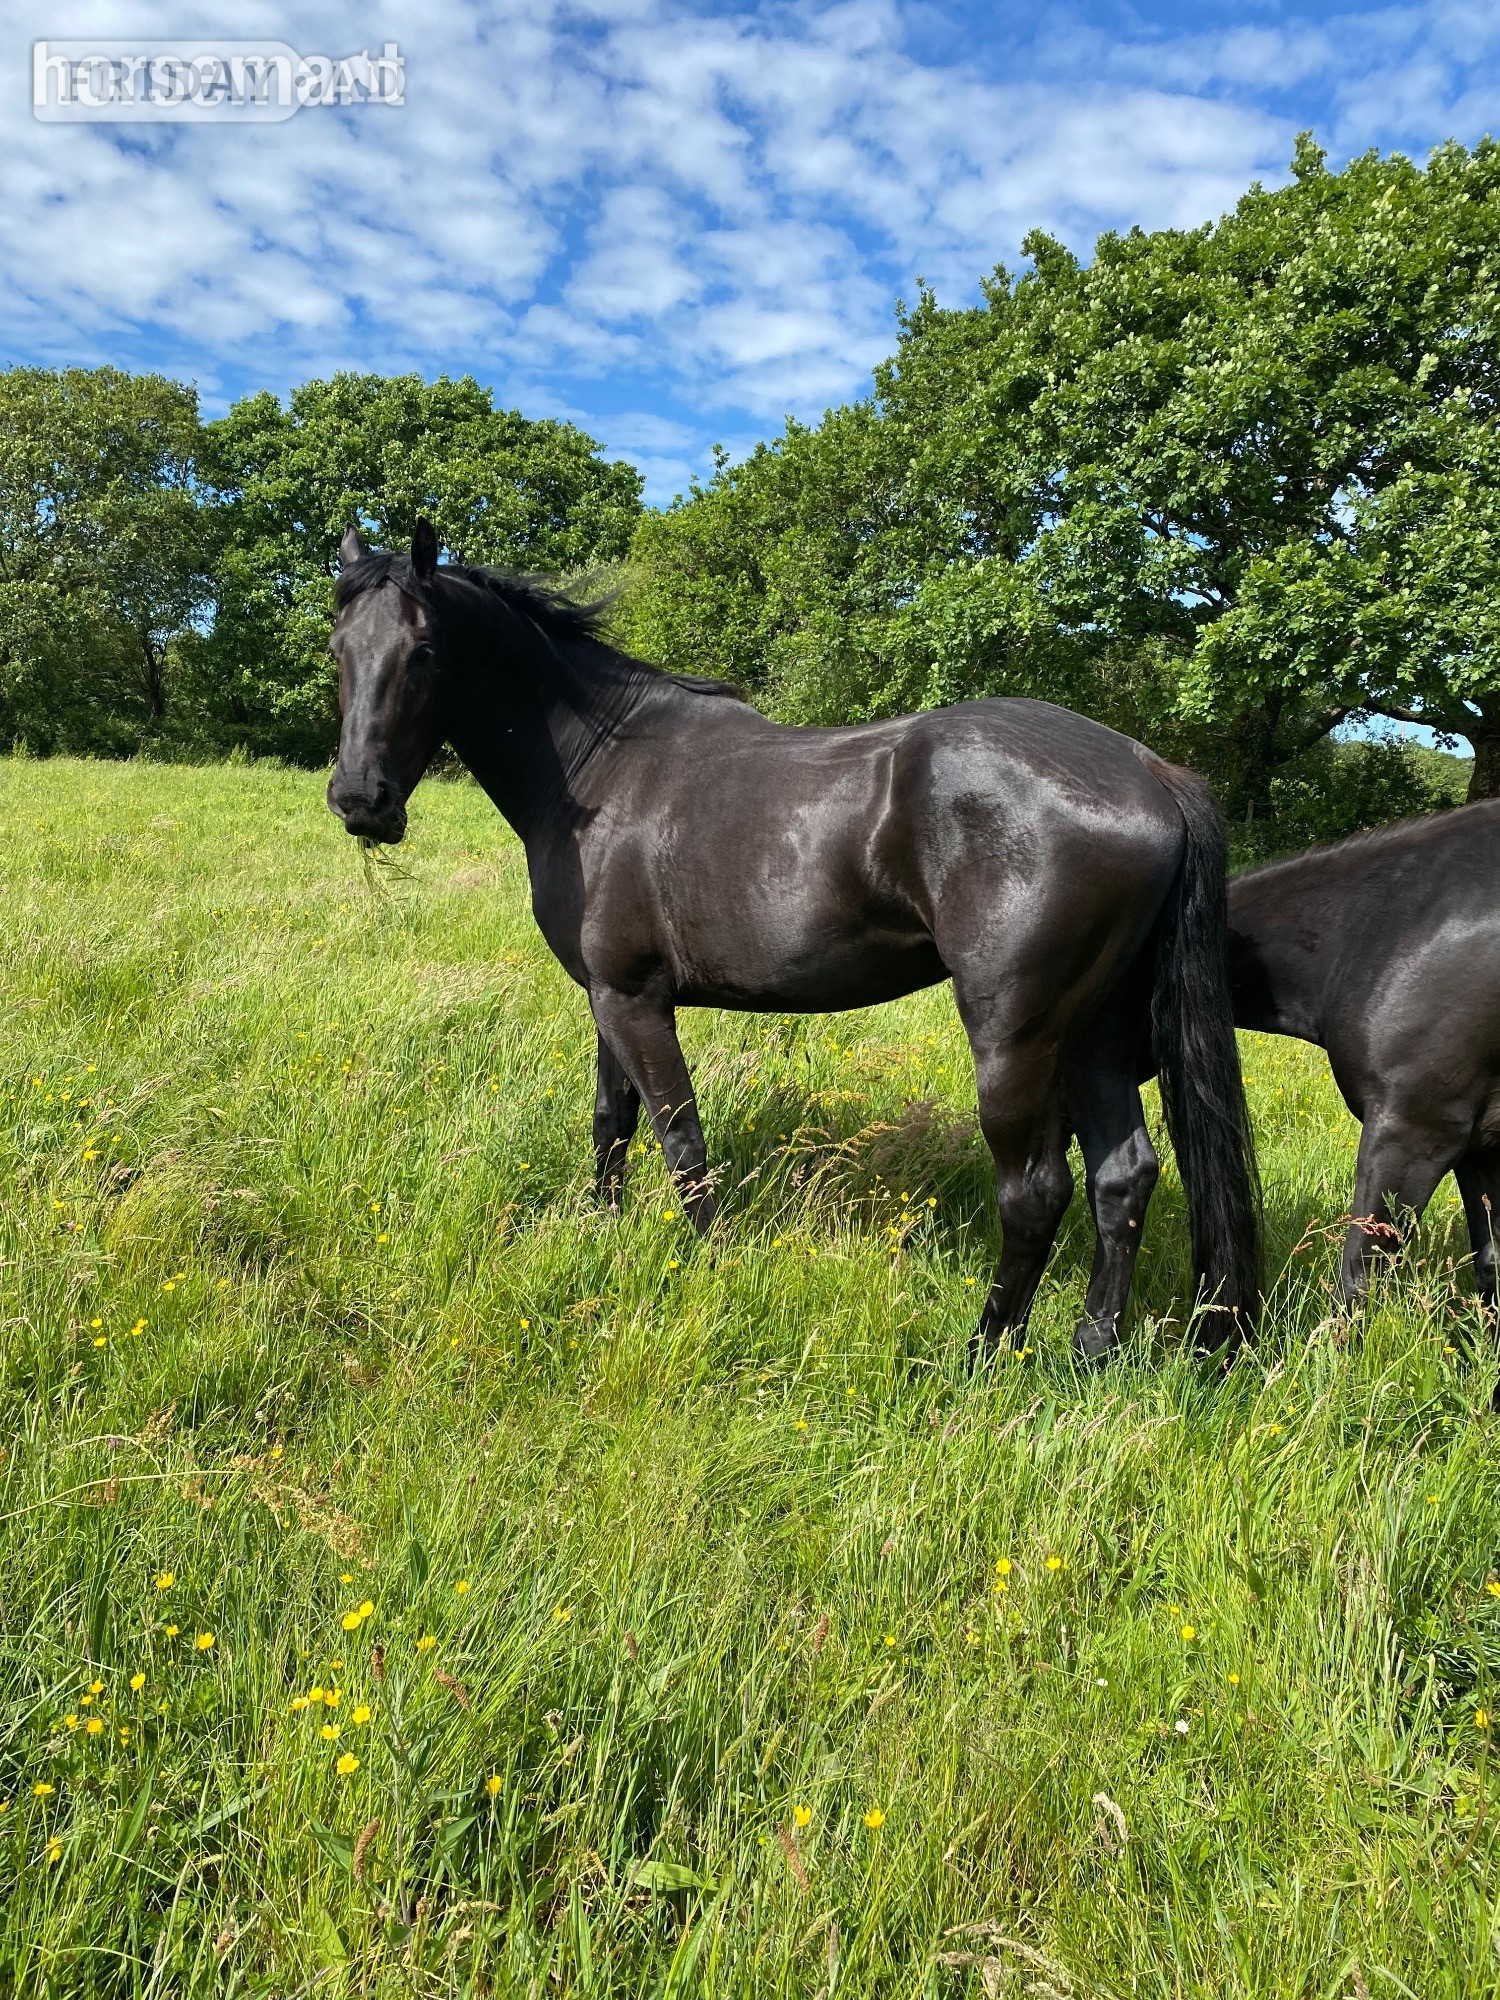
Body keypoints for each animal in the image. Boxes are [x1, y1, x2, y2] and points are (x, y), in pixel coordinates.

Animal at [326, 521, 1260, 1363]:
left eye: (423, 652)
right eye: (338, 649)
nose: (360, 799)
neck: (603, 772)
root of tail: (1149, 772)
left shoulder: (633, 1000)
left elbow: (680, 1140)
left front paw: (710, 1265)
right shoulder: (604, 996)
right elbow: (610, 1123)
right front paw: (601, 1230)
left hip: (1019, 1037)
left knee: (1035, 1191)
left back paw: (982, 1353)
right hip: (1095, 1033)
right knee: (1121, 1177)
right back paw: (1092, 1347)